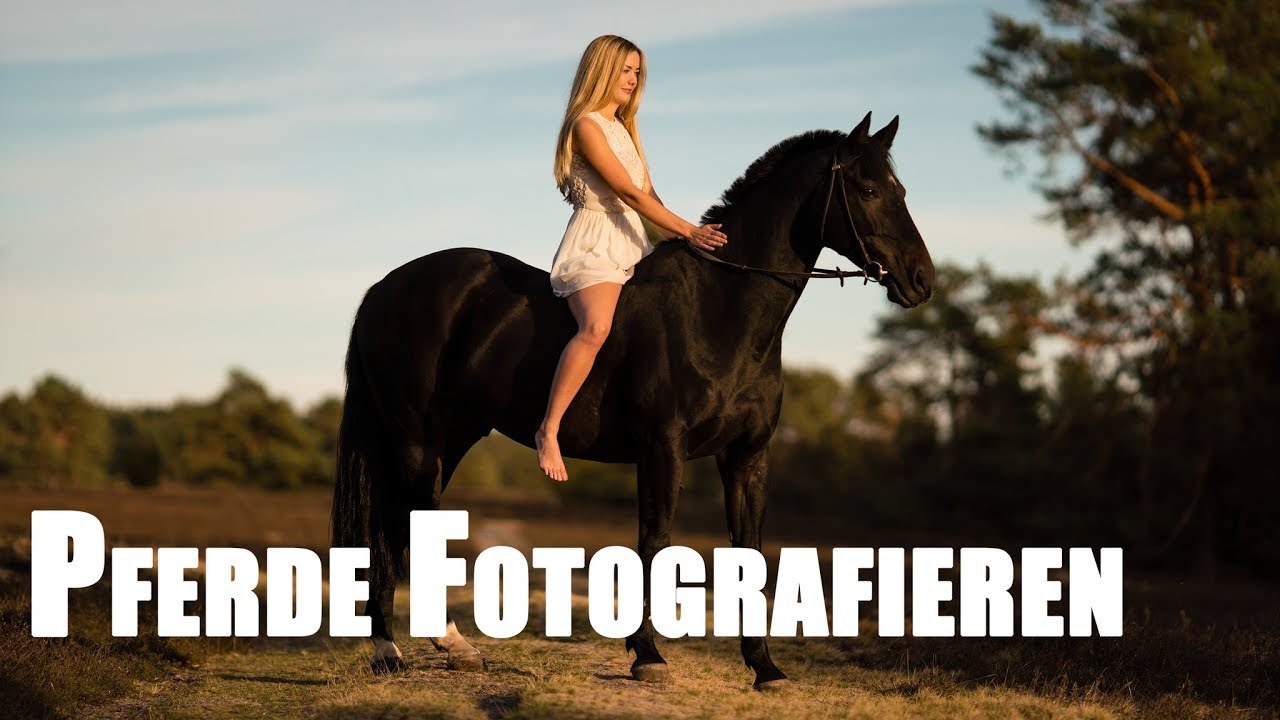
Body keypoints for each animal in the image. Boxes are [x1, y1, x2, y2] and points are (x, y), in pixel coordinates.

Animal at [331, 112, 934, 690]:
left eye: (901, 188)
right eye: (867, 189)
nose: (921, 280)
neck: (719, 309)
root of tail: (386, 287)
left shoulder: (748, 456)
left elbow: (750, 554)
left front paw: (765, 668)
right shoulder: (663, 448)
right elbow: (653, 543)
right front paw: (648, 656)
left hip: (450, 439)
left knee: (415, 526)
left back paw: (449, 647)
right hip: (414, 439)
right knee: (394, 528)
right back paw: (390, 652)